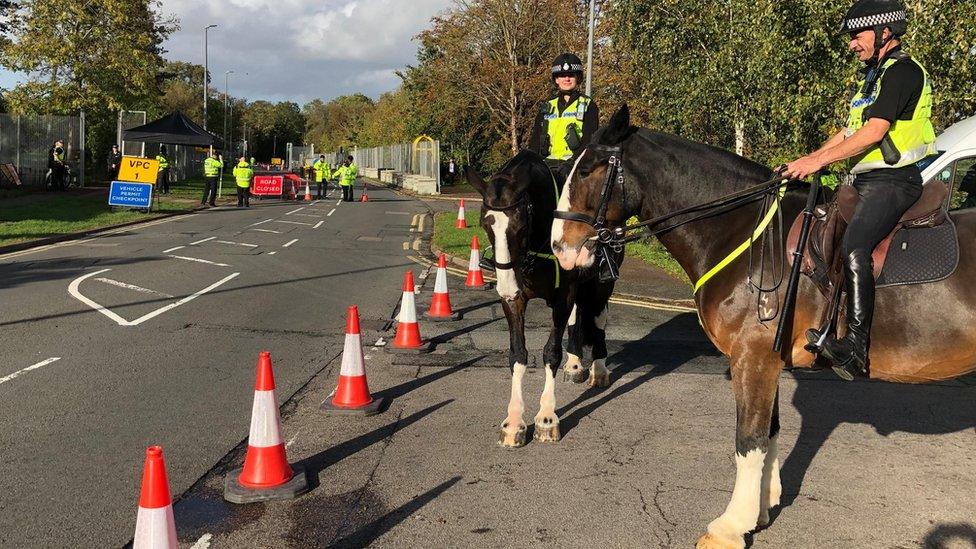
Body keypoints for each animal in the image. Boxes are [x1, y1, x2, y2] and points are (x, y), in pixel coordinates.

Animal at [466, 149, 616, 446]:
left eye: (521, 225)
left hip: (600, 284)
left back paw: (599, 367)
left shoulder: (563, 296)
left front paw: (547, 417)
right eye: (485, 224)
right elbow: (517, 354)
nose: (505, 285)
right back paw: (575, 363)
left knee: (598, 317)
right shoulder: (515, 301)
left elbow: (551, 353)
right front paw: (514, 422)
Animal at [548, 106, 976, 548]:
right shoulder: (768, 359)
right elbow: (769, 431)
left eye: (589, 170)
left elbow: (748, 439)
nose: (560, 248)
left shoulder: (752, 357)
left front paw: (731, 526)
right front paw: (761, 510)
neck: (743, 234)